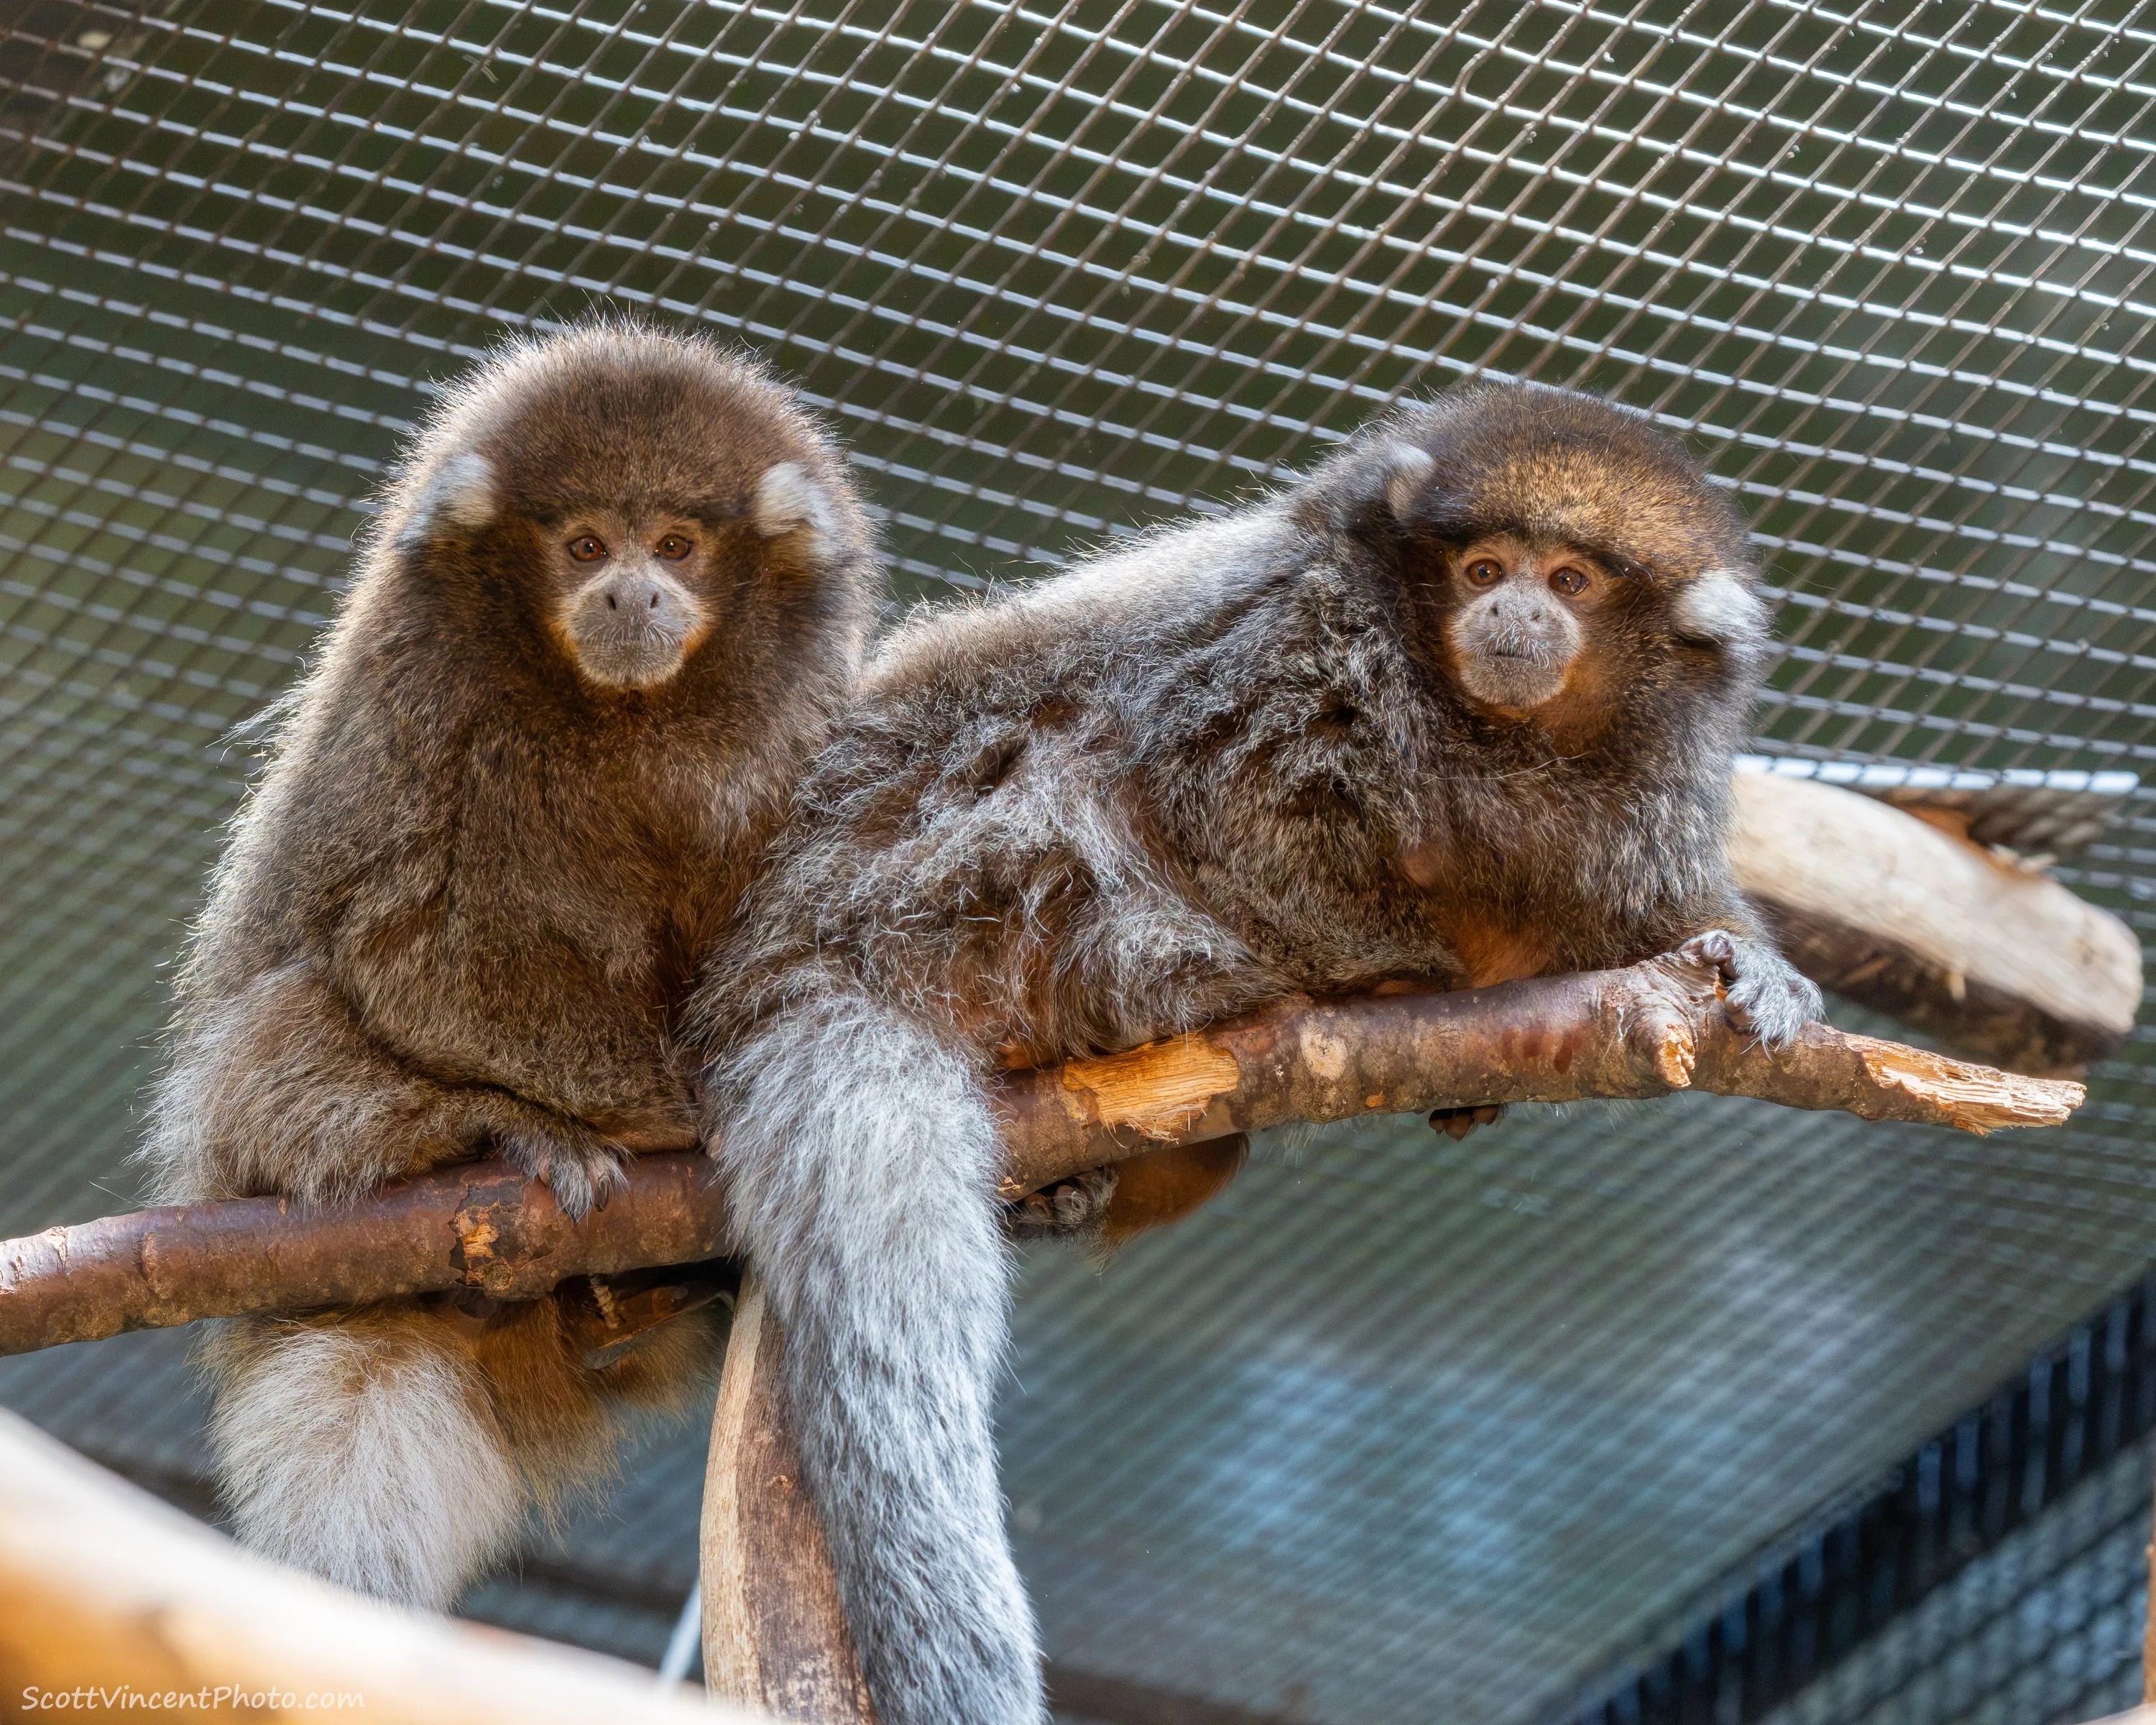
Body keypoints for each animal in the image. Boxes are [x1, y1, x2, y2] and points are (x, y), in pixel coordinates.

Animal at [140, 322, 878, 1610]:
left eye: (675, 544)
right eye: (583, 543)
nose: (629, 589)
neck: (631, 718)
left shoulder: (806, 711)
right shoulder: (426, 682)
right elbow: (408, 945)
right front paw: (658, 1115)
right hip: (229, 1151)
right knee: (282, 1032)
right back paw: (488, 1142)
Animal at [688, 381, 1822, 1725]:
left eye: (1574, 580)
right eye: (1483, 567)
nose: (1514, 613)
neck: (1490, 736)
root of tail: (797, 939)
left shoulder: (1649, 787)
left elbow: (1654, 919)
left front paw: (1744, 967)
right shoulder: (1300, 627)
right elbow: (1221, 788)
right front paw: (1382, 972)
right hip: (949, 869)